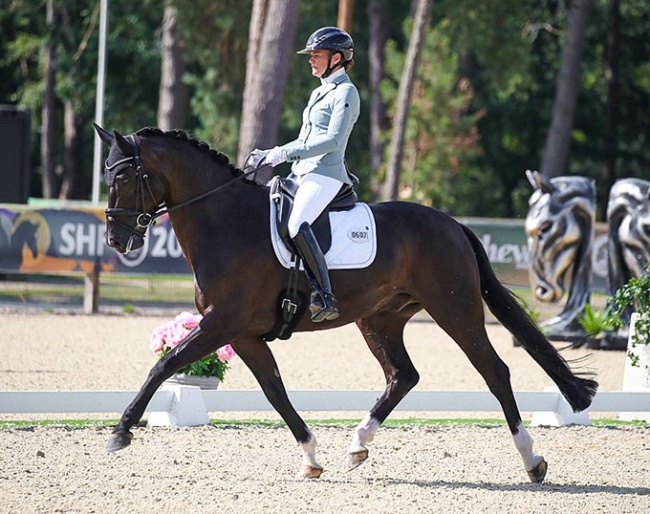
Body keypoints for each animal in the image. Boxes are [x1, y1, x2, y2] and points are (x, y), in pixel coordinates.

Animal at [93, 126, 596, 482]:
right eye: (106, 174)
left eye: (124, 175)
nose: (117, 239)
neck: (226, 223)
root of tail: (452, 224)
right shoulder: (245, 333)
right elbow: (275, 391)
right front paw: (311, 457)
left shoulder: (222, 323)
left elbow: (165, 363)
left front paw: (121, 432)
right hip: (379, 319)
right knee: (402, 375)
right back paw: (357, 444)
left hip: (455, 310)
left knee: (494, 372)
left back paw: (532, 461)